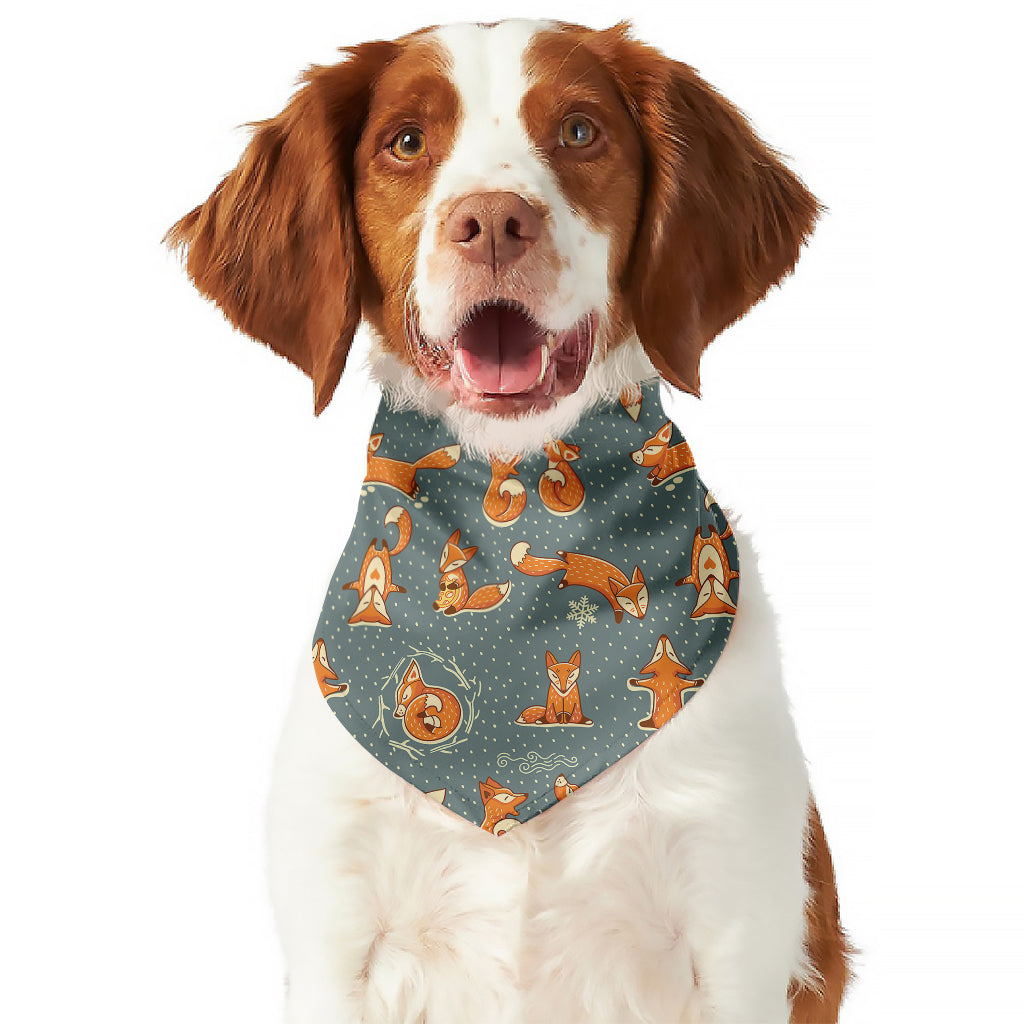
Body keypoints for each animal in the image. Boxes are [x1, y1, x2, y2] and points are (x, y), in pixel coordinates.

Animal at [510, 541, 649, 624]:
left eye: (642, 598)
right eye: (627, 603)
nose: (642, 616)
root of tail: (567, 565)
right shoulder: (615, 603)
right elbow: (618, 613)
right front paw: (618, 619)